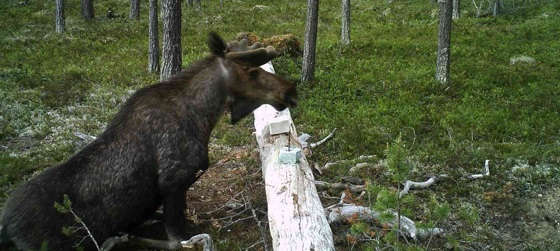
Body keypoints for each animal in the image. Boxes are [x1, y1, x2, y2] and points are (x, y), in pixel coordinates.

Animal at [1, 32, 298, 251]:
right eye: (252, 72)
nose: (290, 89)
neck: (203, 117)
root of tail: (6, 227)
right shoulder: (173, 181)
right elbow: (179, 240)